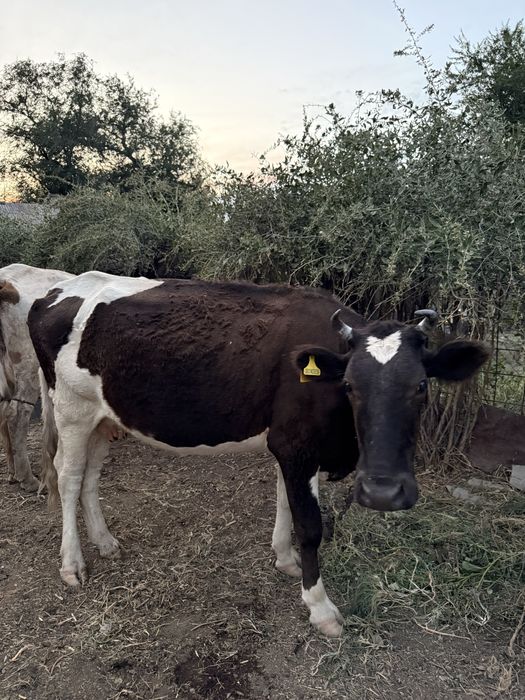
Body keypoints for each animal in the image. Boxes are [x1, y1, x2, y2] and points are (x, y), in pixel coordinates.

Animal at [27, 272, 489, 637]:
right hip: (71, 410)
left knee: (90, 477)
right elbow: (310, 526)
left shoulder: (294, 447)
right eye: (350, 386)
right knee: (68, 478)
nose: (383, 493)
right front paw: (320, 607)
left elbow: (285, 501)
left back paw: (105, 542)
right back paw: (72, 563)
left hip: (103, 417)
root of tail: (59, 289)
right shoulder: (295, 444)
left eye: (422, 386)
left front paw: (284, 558)